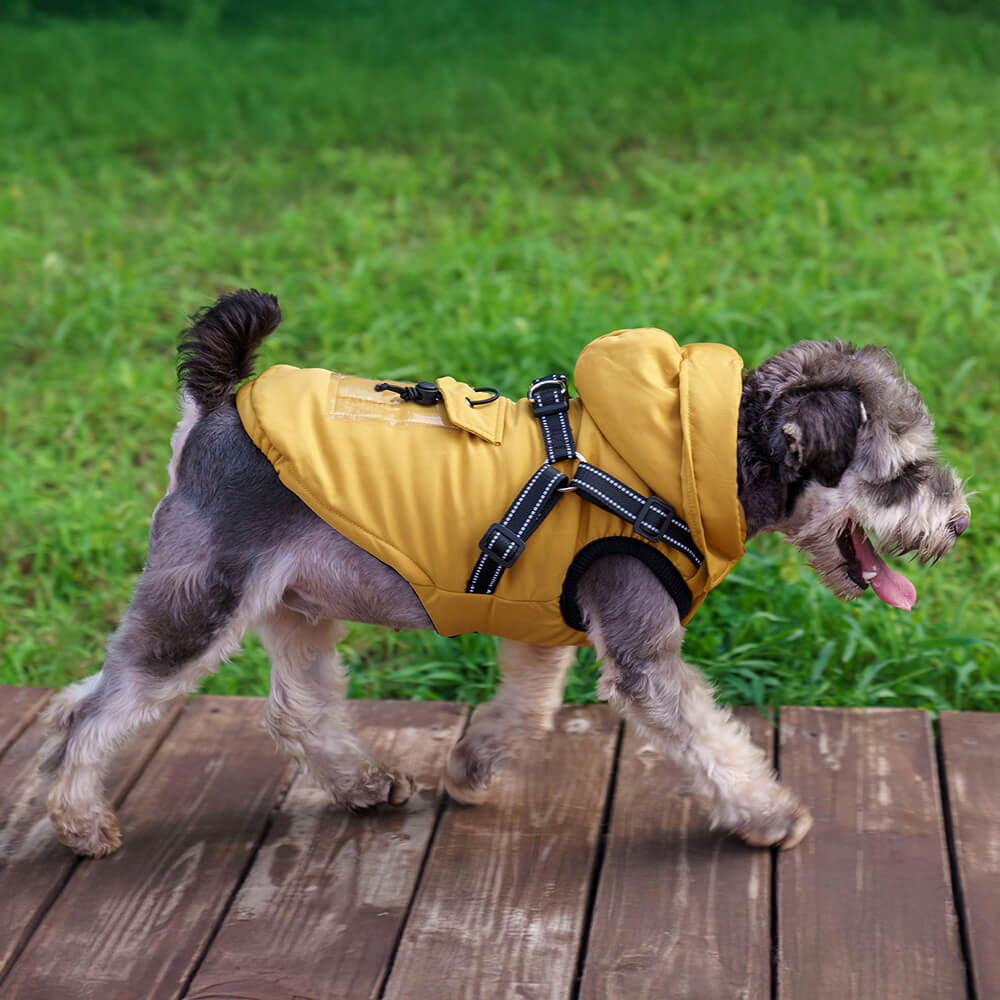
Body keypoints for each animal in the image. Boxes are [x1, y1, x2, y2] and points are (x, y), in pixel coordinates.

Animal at [41, 290, 968, 860]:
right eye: (902, 473)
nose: (960, 520)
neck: (689, 458)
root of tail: (216, 404)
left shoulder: (545, 626)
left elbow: (526, 711)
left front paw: (471, 768)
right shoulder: (640, 643)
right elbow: (709, 738)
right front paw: (768, 816)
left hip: (296, 606)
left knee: (293, 709)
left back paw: (365, 783)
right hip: (198, 601)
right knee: (92, 708)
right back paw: (80, 821)